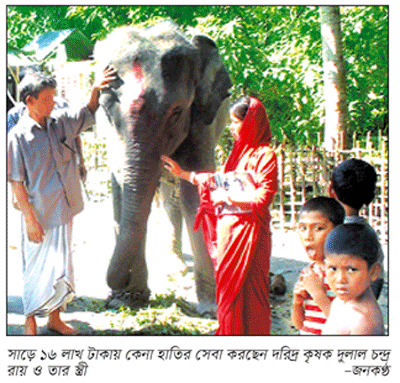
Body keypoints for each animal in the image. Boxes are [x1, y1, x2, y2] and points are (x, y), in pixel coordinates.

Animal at [94, 20, 231, 316]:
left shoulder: (201, 123)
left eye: (177, 111)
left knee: (172, 197)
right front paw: (128, 301)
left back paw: (177, 269)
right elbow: (121, 190)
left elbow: (195, 193)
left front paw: (212, 309)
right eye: (106, 109)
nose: (113, 291)